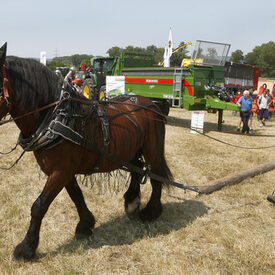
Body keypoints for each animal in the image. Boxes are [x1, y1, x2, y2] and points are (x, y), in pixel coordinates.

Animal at [0, 42, 172, 260]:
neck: (57, 117)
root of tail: (152, 105)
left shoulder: (61, 171)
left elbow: (39, 206)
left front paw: (27, 247)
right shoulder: (64, 170)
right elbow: (76, 195)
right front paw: (85, 224)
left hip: (153, 149)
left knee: (156, 177)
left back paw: (151, 212)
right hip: (132, 150)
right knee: (136, 170)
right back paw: (132, 203)